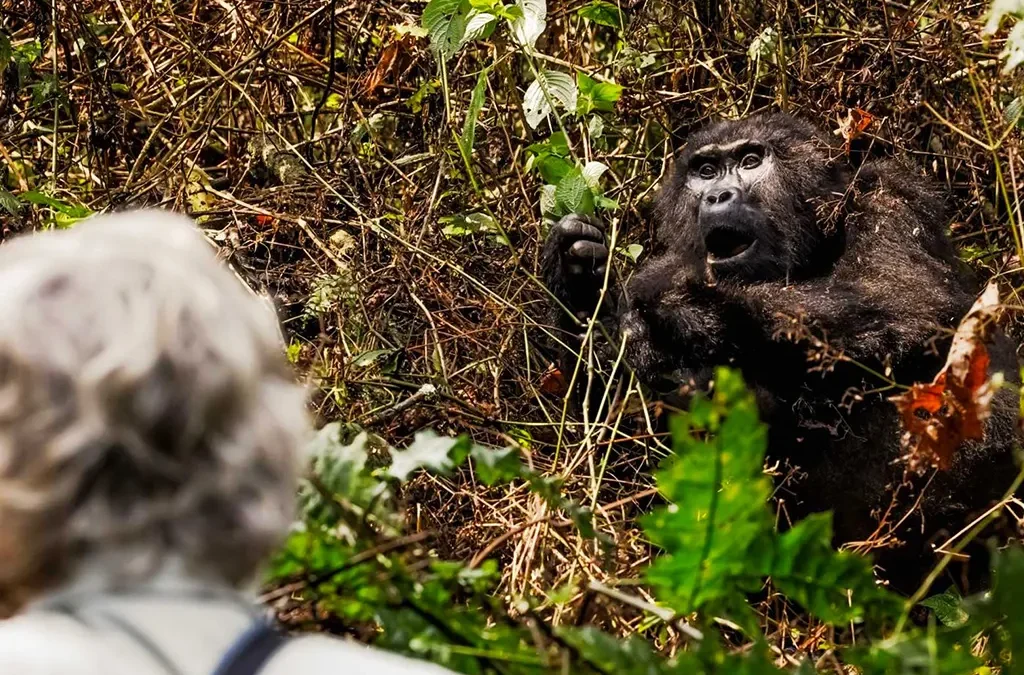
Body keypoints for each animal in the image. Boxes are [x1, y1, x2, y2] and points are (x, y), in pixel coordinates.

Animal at [541, 112, 1022, 593]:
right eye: (705, 171)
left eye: (752, 161)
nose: (717, 196)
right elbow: (608, 433)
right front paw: (576, 277)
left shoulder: (892, 199)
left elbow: (905, 304)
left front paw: (691, 304)